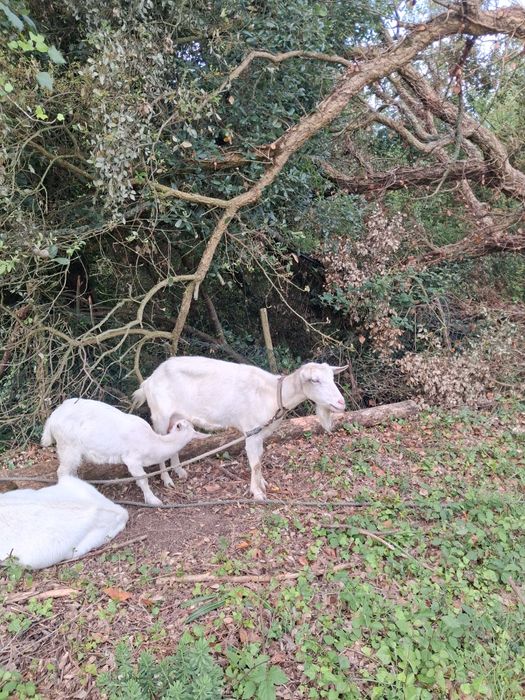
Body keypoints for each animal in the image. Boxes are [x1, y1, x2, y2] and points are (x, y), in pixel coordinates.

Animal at [41, 398, 207, 505]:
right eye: (181, 425)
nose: (179, 422)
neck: (154, 443)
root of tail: (52, 418)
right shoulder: (132, 460)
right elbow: (143, 479)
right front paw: (153, 500)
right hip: (67, 445)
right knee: (62, 471)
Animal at [132, 356, 348, 501]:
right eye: (315, 380)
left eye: (332, 377)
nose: (341, 403)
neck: (274, 394)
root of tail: (148, 381)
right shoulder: (251, 432)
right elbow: (255, 463)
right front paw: (258, 493)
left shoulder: (260, 433)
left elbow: (259, 459)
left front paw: (262, 483)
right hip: (160, 416)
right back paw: (167, 479)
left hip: (177, 418)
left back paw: (180, 472)